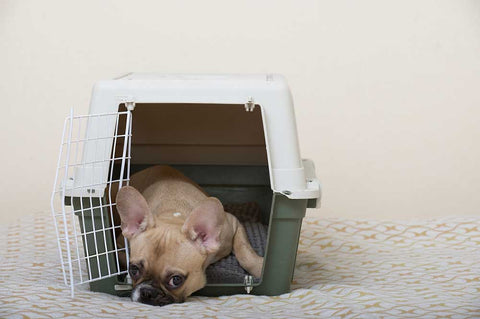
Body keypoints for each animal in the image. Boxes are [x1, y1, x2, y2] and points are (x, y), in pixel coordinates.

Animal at [112, 166, 262, 306]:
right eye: (134, 269)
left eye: (176, 280)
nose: (147, 292)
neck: (172, 214)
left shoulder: (233, 224)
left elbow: (245, 253)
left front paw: (259, 267)